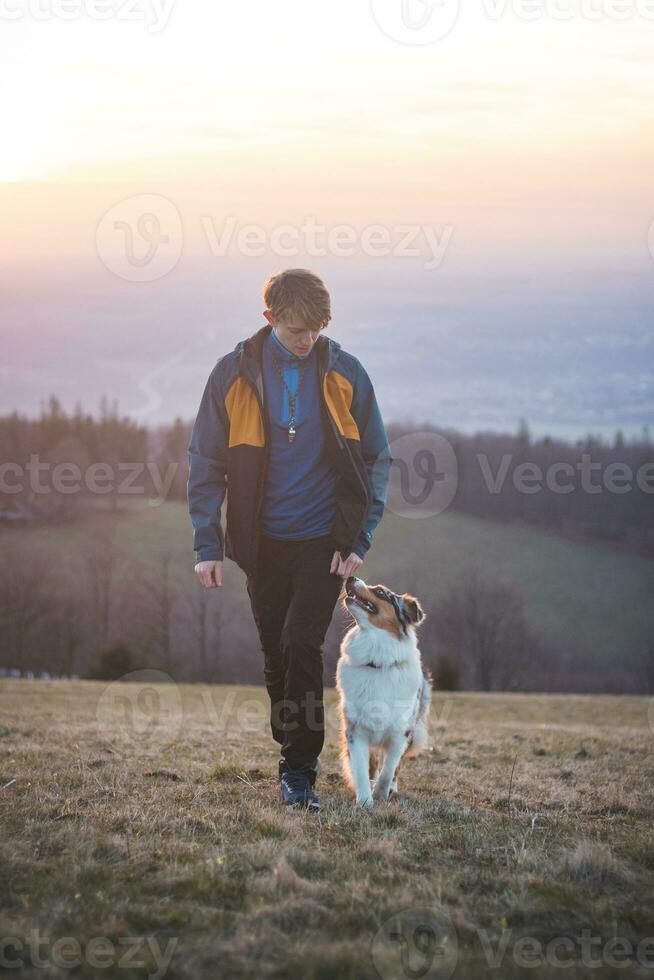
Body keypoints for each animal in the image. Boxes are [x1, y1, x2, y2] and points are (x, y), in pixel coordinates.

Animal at [336, 572, 434, 808]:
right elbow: (362, 768)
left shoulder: (401, 732)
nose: (350, 577)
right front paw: (365, 800)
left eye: (381, 592)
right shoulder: (355, 730)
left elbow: (389, 768)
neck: (376, 660)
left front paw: (381, 792)